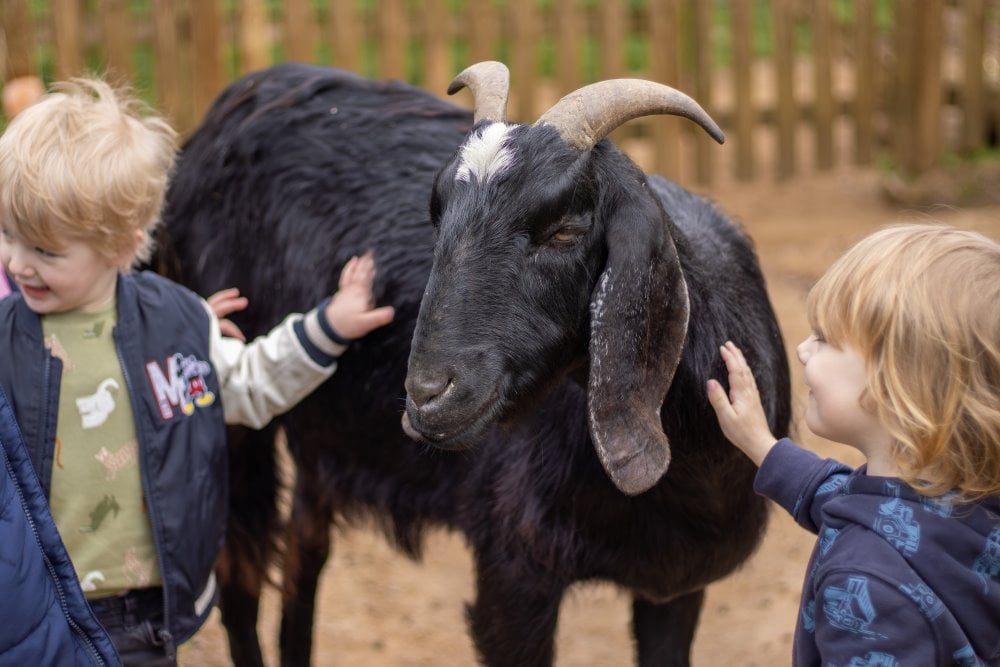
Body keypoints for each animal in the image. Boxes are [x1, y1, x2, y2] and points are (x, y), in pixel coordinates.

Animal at [158, 62, 788, 667]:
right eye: (437, 215)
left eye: (566, 230)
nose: (428, 395)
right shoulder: (512, 573)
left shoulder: (675, 587)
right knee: (239, 572)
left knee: (300, 558)